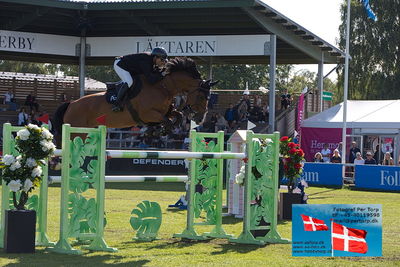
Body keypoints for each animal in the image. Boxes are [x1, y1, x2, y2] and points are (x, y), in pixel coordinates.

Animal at [52, 56, 216, 144]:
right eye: (201, 96)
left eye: (209, 97)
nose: (200, 119)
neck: (163, 87)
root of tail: (71, 104)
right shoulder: (148, 114)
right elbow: (167, 121)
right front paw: (157, 132)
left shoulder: (164, 113)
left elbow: (177, 115)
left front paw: (155, 131)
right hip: (76, 131)